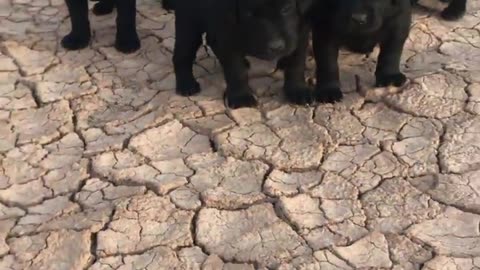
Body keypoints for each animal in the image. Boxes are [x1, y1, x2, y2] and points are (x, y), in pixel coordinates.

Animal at [164, 0, 316, 108]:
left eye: (286, 8)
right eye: (249, 14)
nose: (276, 47)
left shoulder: (300, 30)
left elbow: (296, 62)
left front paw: (297, 90)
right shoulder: (228, 32)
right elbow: (236, 69)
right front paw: (241, 97)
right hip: (189, 20)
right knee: (182, 54)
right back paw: (186, 84)